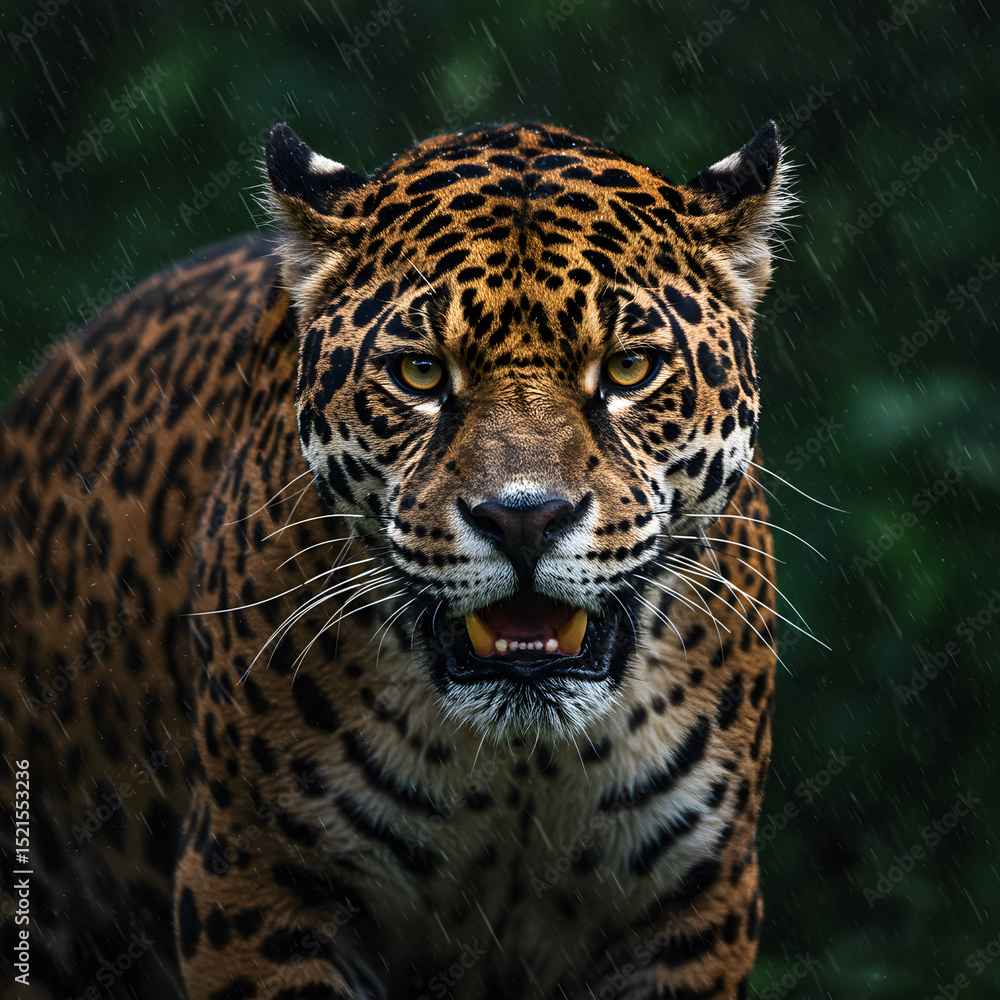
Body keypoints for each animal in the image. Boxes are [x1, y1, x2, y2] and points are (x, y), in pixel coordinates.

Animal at [0, 118, 791, 1000]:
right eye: (420, 373)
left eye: (628, 368)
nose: (524, 517)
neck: (521, 770)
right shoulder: (255, 880)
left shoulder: (695, 903)